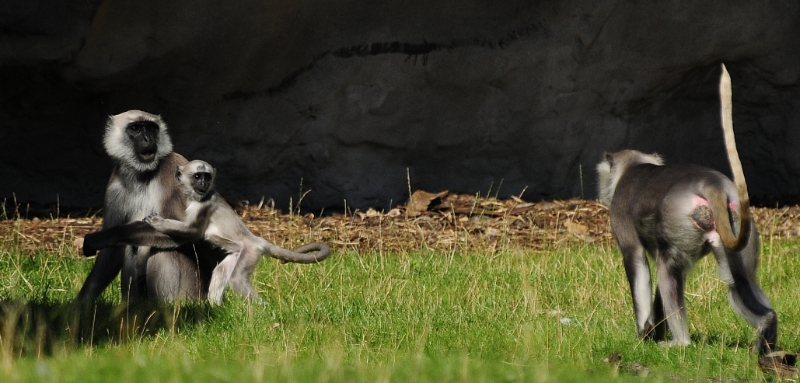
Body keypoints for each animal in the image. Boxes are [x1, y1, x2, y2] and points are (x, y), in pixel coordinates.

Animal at [77, 110, 223, 304]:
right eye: (136, 129)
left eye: (151, 128)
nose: (147, 139)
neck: (142, 175)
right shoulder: (115, 184)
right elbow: (113, 252)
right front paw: (78, 305)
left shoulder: (171, 169)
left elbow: (190, 231)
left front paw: (100, 238)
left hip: (191, 290)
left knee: (158, 247)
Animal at [83, 160, 330, 306]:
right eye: (197, 176)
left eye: (207, 177)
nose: (203, 183)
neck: (200, 195)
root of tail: (255, 238)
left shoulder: (204, 205)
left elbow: (192, 232)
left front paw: (157, 222)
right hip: (238, 255)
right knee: (222, 271)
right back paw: (214, 306)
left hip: (249, 252)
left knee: (237, 279)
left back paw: (261, 310)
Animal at [596, 64, 780, 356]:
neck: (635, 168)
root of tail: (710, 182)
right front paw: (653, 332)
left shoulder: (620, 214)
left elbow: (636, 262)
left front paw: (644, 334)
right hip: (736, 223)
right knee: (740, 280)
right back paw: (767, 327)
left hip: (678, 218)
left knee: (666, 268)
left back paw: (679, 343)